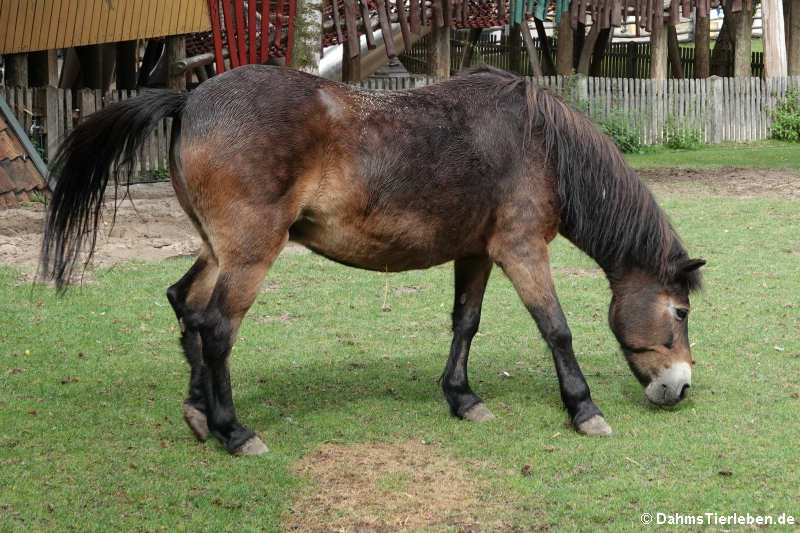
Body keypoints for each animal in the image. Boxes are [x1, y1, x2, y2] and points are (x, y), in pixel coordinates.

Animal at [40, 64, 704, 456]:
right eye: (679, 313)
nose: (679, 387)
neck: (538, 142)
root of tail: (192, 97)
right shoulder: (521, 249)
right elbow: (557, 330)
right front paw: (583, 408)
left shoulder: (477, 252)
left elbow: (466, 323)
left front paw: (462, 398)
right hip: (251, 252)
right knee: (217, 326)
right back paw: (234, 430)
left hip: (217, 249)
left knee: (186, 305)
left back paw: (200, 411)